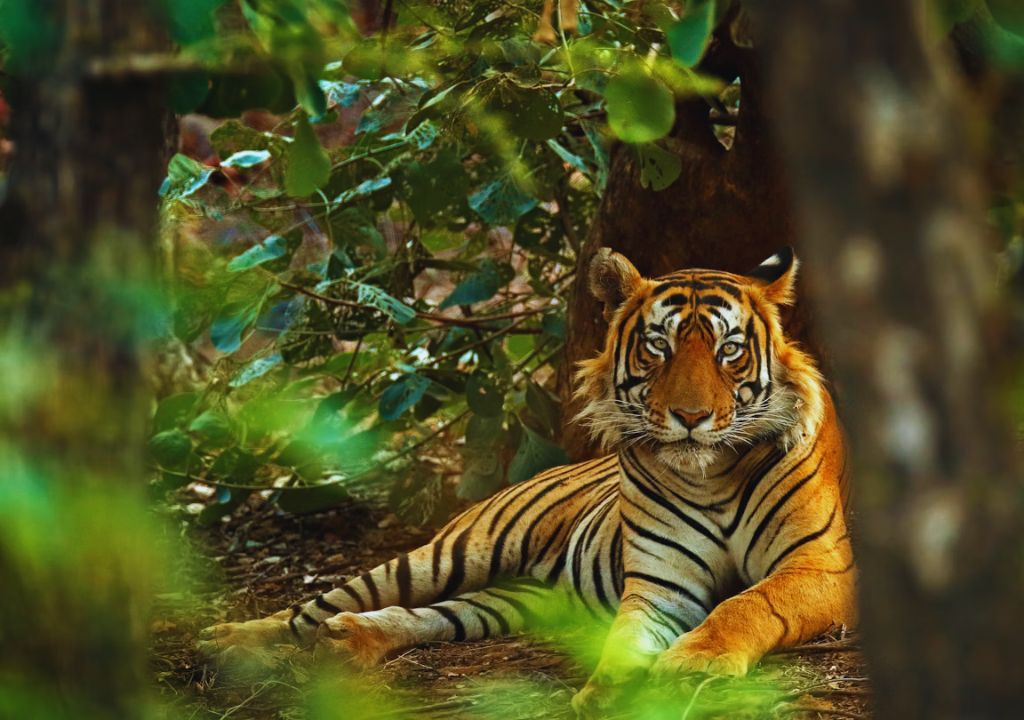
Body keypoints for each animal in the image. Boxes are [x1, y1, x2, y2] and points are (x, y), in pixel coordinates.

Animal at [198, 247, 856, 717]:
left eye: (729, 351)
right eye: (658, 347)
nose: (690, 417)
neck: (711, 475)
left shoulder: (821, 566)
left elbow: (748, 603)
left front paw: (693, 663)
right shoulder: (659, 585)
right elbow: (627, 637)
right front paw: (609, 692)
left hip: (515, 599)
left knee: (432, 616)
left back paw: (348, 641)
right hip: (453, 553)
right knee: (319, 604)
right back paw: (229, 639)